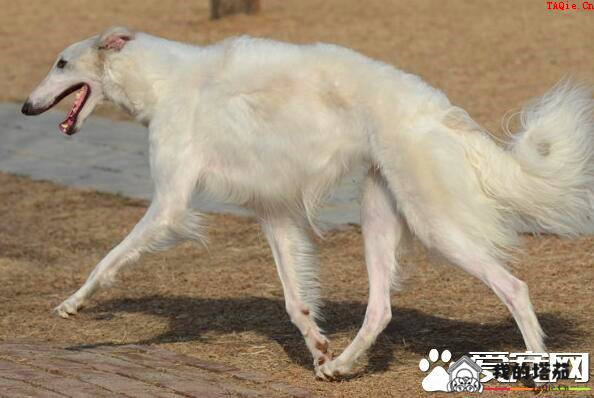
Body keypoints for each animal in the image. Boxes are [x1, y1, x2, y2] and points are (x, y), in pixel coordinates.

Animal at [20, 26, 588, 378]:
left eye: (61, 62)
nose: (25, 107)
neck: (167, 80)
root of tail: (439, 109)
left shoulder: (170, 202)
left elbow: (108, 260)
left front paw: (73, 305)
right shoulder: (274, 211)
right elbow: (297, 302)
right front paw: (317, 346)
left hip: (434, 223)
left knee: (514, 287)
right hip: (379, 213)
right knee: (380, 308)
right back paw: (340, 366)